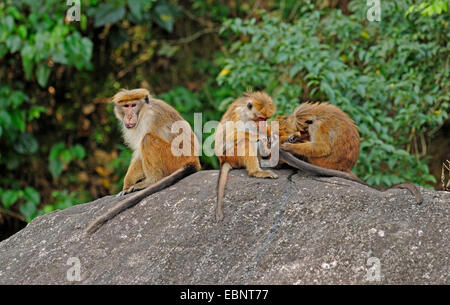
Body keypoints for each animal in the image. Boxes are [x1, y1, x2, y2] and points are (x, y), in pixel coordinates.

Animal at [85, 88, 201, 233]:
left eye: (133, 105)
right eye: (126, 106)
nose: (129, 116)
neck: (143, 111)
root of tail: (194, 160)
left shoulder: (150, 118)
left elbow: (141, 150)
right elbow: (137, 153)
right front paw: (126, 185)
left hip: (174, 159)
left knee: (146, 139)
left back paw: (152, 181)